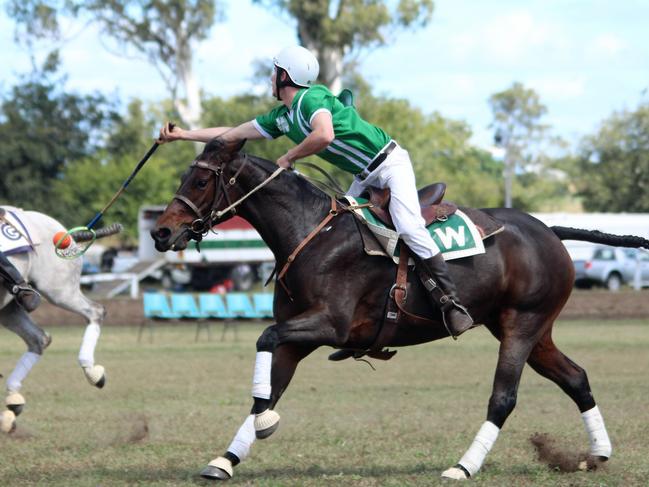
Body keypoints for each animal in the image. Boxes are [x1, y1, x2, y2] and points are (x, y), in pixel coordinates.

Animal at [0, 208, 117, 432]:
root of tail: (67, 232)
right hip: (8, 308)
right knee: (38, 339)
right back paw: (12, 403)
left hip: (59, 290)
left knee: (95, 311)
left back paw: (92, 372)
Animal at [153, 139, 648, 482]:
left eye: (200, 181)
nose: (161, 232)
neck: (311, 233)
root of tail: (549, 229)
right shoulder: (297, 335)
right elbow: (269, 388)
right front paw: (226, 458)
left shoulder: (327, 325)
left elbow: (264, 341)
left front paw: (261, 426)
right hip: (532, 329)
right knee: (576, 377)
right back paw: (598, 454)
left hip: (521, 325)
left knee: (503, 398)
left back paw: (463, 466)